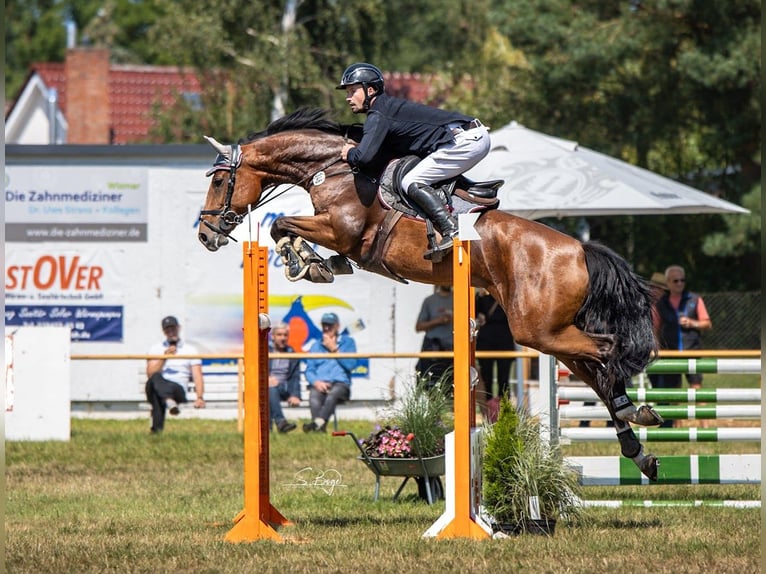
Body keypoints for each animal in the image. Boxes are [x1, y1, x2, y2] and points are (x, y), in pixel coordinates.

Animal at [200, 108, 664, 482]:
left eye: (221, 180)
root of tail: (579, 249)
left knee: (607, 350)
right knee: (596, 372)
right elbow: (293, 232)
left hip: (537, 330)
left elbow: (284, 226)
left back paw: (633, 419)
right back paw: (638, 443)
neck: (333, 168)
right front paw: (316, 264)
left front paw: (303, 262)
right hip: (550, 332)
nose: (206, 234)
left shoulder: (342, 230)